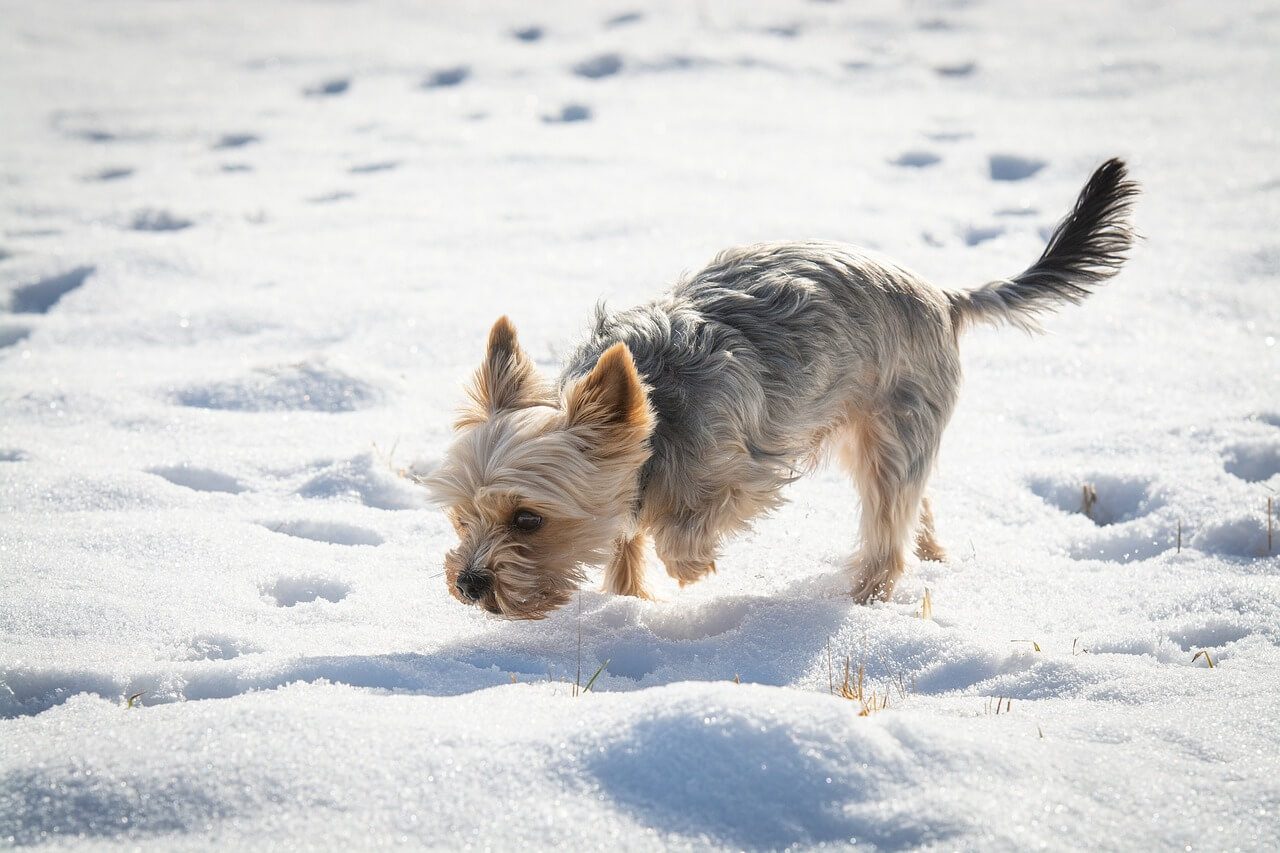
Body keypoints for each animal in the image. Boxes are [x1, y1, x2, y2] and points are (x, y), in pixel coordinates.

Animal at [430, 156, 1141, 614]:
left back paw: (866, 596)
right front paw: (626, 598)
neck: (655, 410)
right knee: (917, 502)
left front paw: (691, 569)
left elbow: (680, 530)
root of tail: (945, 296)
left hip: (892, 423)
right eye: (462, 516)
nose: (469, 584)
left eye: (528, 519)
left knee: (887, 518)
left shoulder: (742, 471)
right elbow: (625, 541)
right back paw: (932, 555)